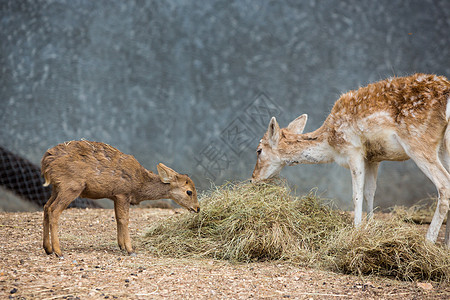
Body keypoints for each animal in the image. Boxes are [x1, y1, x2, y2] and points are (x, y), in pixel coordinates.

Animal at [41, 139, 200, 256]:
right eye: (189, 192)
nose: (198, 208)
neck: (139, 185)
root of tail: (46, 161)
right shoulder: (123, 193)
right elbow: (124, 219)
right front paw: (130, 249)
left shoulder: (115, 196)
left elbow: (118, 218)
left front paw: (122, 246)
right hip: (71, 186)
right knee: (54, 210)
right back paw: (58, 252)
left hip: (57, 187)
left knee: (46, 206)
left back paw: (48, 248)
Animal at [251, 73, 450, 246]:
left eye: (258, 150)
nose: (253, 179)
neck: (330, 143)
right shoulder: (373, 157)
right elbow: (370, 192)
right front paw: (370, 227)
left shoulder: (353, 150)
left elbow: (356, 194)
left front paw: (356, 231)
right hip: (443, 148)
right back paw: (446, 244)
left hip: (418, 141)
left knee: (444, 184)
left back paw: (428, 242)